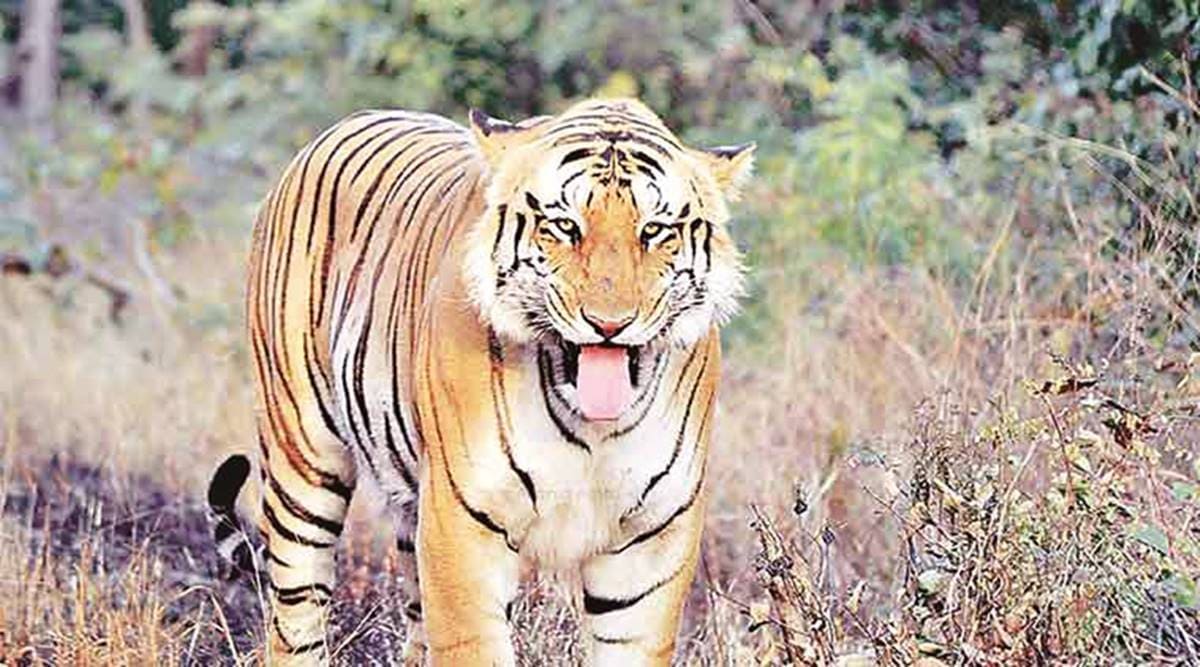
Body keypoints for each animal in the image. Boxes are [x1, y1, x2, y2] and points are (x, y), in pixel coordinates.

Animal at [207, 97, 753, 666]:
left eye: (654, 230)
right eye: (564, 226)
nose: (609, 323)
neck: (591, 425)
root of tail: (349, 121)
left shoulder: (652, 540)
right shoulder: (462, 524)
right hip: (302, 463)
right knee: (295, 615)